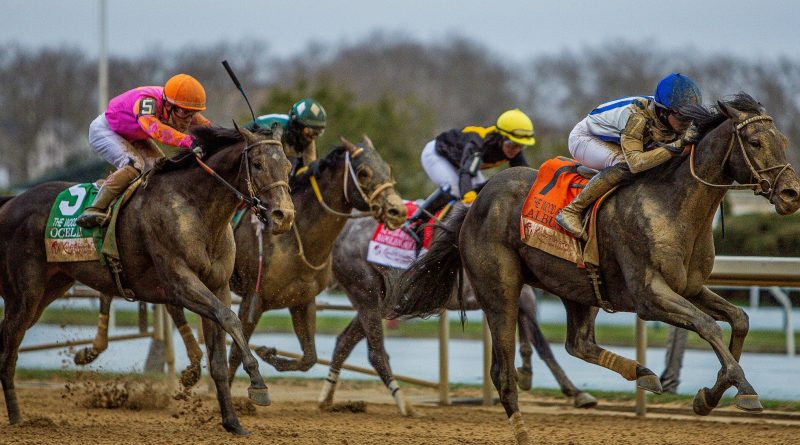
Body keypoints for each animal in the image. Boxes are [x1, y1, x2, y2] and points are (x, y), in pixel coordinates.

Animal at [0, 125, 294, 435]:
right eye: (258, 164)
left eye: (288, 166)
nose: (284, 216)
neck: (195, 207)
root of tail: (10, 202)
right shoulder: (179, 281)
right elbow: (230, 318)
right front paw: (258, 383)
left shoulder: (218, 286)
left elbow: (219, 353)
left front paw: (232, 422)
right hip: (23, 296)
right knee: (8, 353)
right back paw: (17, 418)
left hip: (49, 289)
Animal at [226, 136, 407, 384]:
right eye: (363, 172)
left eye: (387, 169)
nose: (397, 211)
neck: (294, 238)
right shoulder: (253, 299)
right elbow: (236, 353)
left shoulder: (302, 300)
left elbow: (309, 358)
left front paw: (268, 353)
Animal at [320, 216, 597, 416]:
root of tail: (341, 237)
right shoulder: (515, 292)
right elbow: (542, 344)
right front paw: (575, 392)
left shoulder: (518, 293)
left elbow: (532, 338)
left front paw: (529, 374)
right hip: (367, 294)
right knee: (375, 352)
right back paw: (403, 404)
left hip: (378, 301)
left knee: (344, 341)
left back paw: (327, 398)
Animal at [388, 94, 800, 444]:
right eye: (755, 142)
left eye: (782, 139)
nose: (791, 194)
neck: (671, 206)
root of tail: (474, 203)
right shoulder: (649, 296)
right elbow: (708, 325)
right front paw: (743, 391)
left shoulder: (689, 288)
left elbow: (739, 319)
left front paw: (708, 396)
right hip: (500, 291)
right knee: (503, 373)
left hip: (578, 286)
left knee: (579, 342)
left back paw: (642, 373)